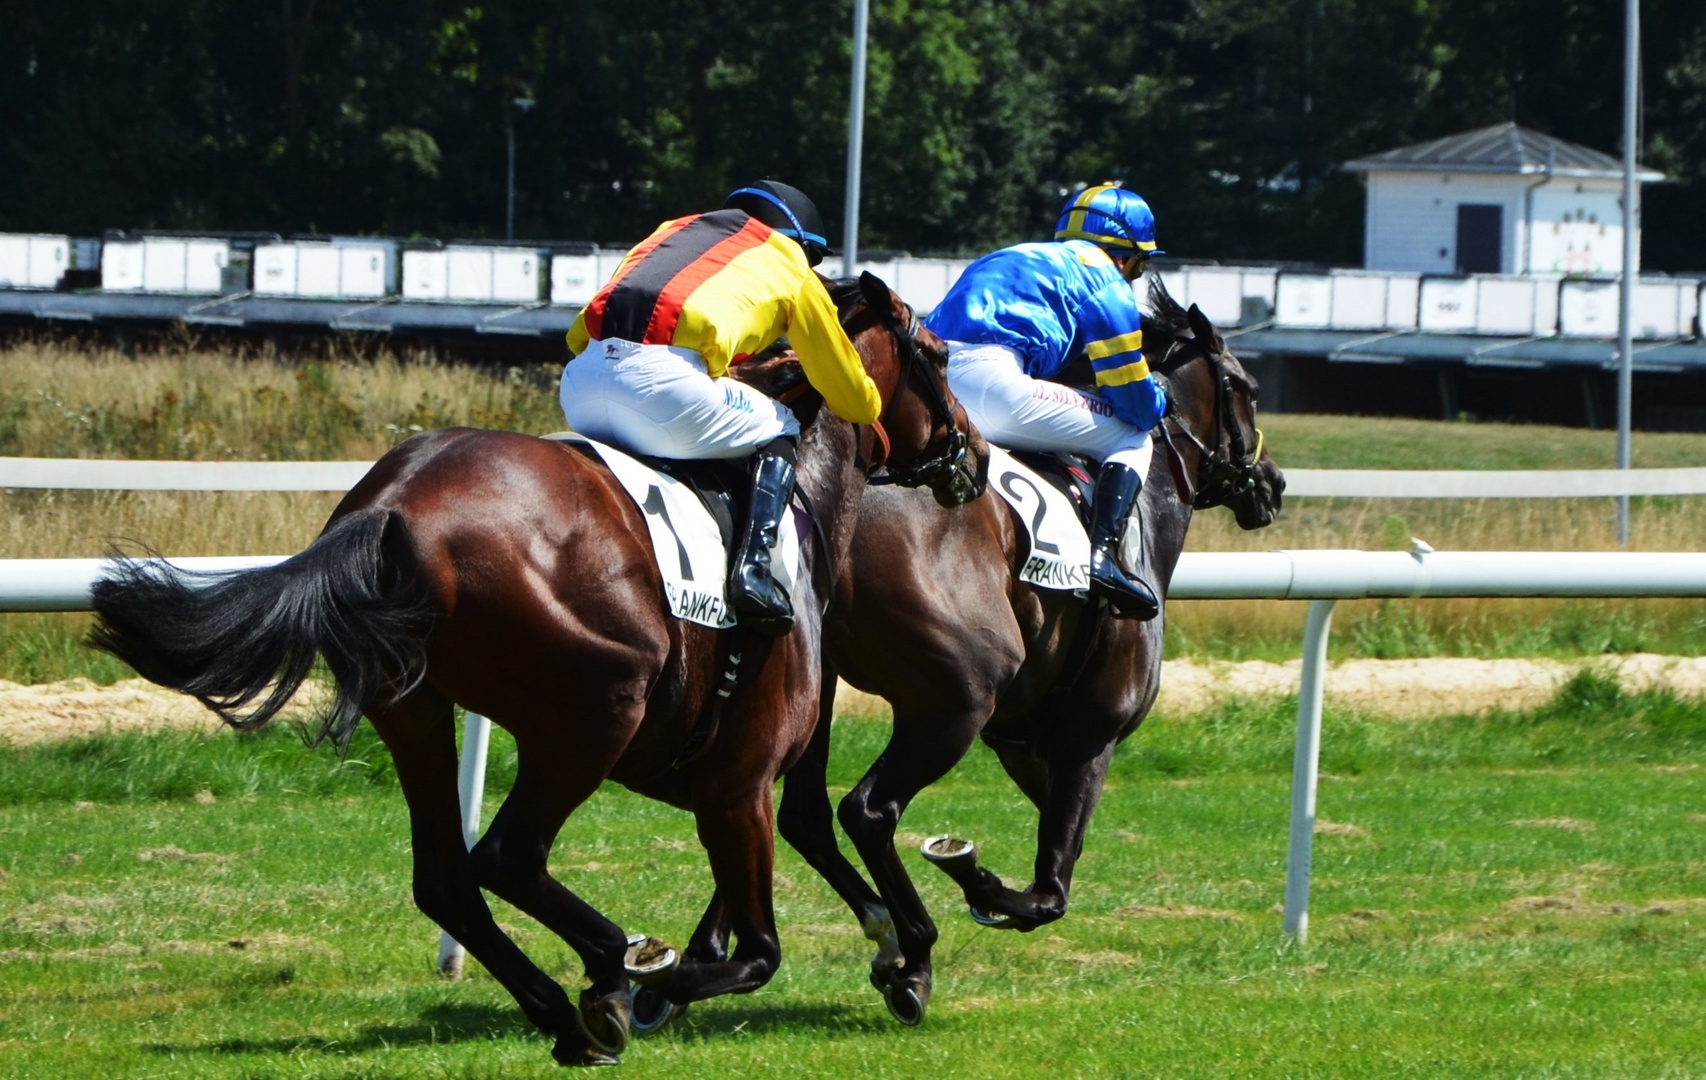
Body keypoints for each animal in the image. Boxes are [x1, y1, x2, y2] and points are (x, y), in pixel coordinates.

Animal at [86, 272, 989, 1064]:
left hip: (415, 707)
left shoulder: (737, 782)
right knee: (508, 858)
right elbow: (759, 947)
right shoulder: (739, 783)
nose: (974, 456)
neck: (799, 498)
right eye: (939, 356)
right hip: (594, 711)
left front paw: (898, 953)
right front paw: (664, 981)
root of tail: (393, 508)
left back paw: (567, 1012)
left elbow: (803, 850)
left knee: (447, 879)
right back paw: (615, 970)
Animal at [641, 278, 1282, 1030]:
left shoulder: (1023, 742)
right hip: (955, 699)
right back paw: (912, 949)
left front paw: (697, 957)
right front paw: (975, 881)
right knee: (866, 809)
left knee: (795, 810)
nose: (1273, 484)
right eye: (1247, 388)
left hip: (816, 686)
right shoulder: (1089, 735)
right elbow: (1050, 890)